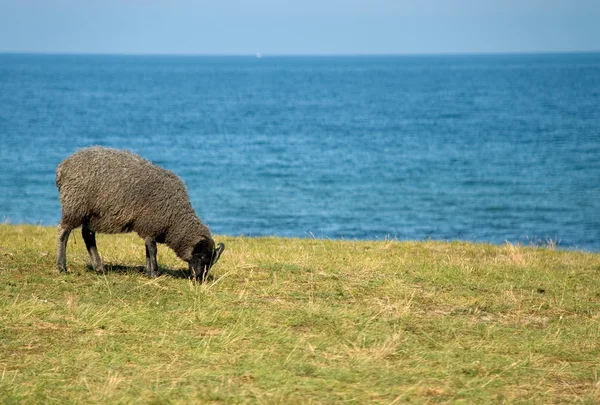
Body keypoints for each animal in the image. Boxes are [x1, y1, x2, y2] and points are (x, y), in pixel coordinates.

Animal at [55, 146, 224, 280]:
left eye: (210, 262)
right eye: (201, 256)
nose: (199, 279)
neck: (174, 219)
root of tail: (63, 166)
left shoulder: (148, 227)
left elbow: (148, 248)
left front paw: (149, 271)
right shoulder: (151, 223)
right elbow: (153, 249)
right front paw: (154, 273)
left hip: (92, 213)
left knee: (88, 235)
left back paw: (99, 267)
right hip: (76, 205)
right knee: (64, 232)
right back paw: (62, 266)